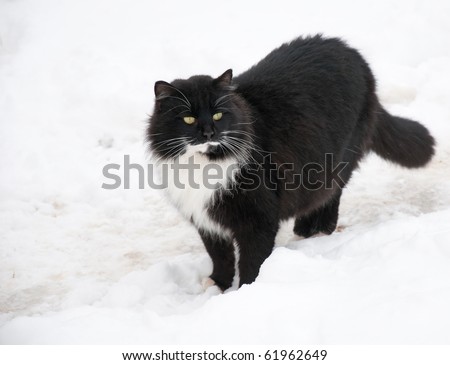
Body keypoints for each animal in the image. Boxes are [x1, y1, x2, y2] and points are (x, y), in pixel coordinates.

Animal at [149, 34, 436, 290]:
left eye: (219, 115)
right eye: (188, 119)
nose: (209, 132)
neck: (202, 164)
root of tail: (352, 53)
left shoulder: (258, 218)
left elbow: (253, 260)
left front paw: (247, 290)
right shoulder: (205, 220)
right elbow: (219, 255)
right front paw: (218, 284)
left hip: (337, 157)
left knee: (331, 194)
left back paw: (315, 229)